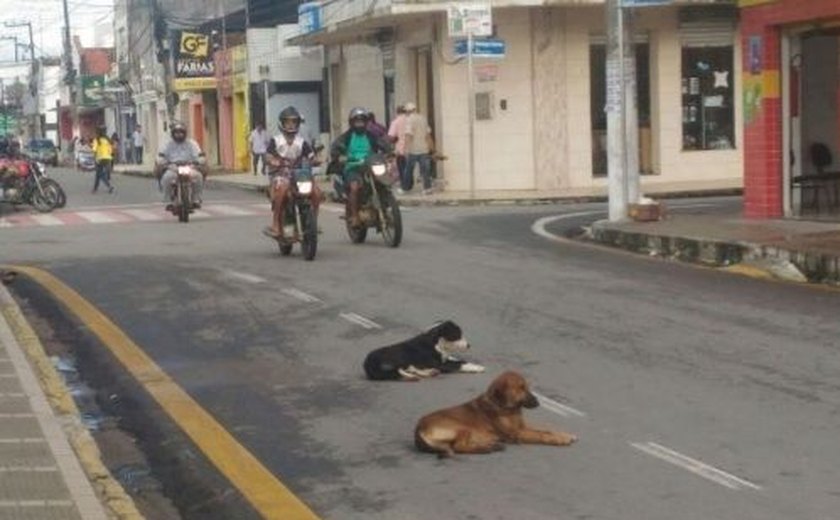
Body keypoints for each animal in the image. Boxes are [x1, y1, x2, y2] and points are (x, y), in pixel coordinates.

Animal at [414, 370, 576, 460]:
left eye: (526, 387)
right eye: (521, 388)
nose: (538, 402)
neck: (505, 408)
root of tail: (418, 429)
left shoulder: (523, 427)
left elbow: (547, 429)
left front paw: (565, 434)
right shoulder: (517, 434)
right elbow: (541, 435)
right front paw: (560, 439)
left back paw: (490, 445)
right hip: (461, 427)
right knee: (459, 447)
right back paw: (487, 448)